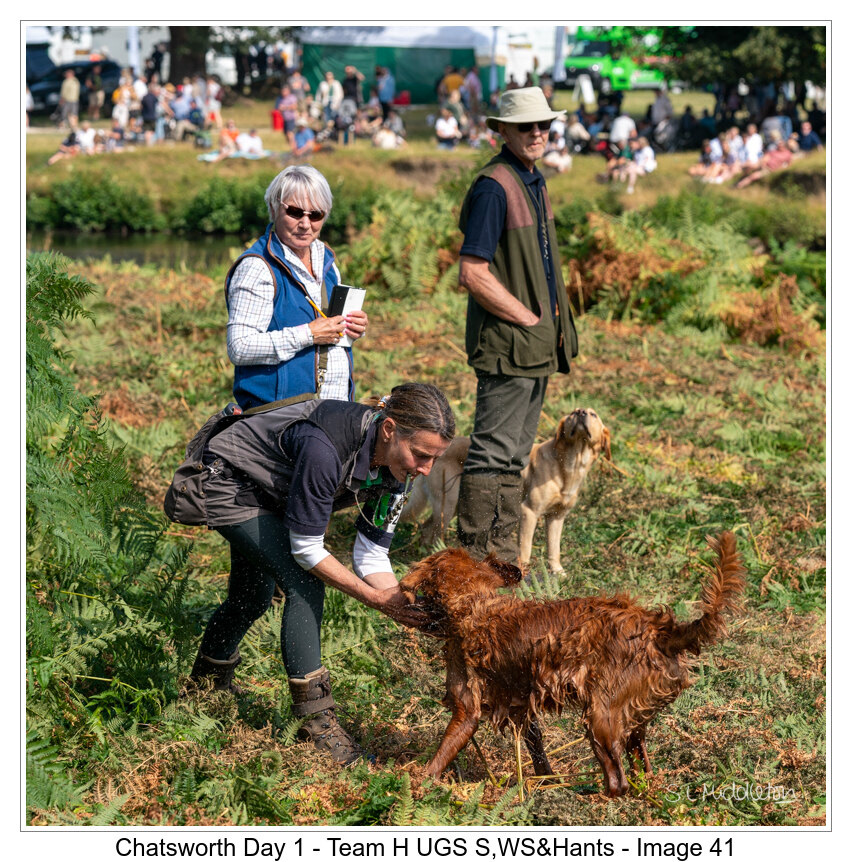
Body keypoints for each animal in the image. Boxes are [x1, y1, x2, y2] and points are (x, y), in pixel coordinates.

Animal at [400, 409, 611, 571]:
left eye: (593, 414)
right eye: (573, 414)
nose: (581, 413)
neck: (571, 463)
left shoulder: (557, 517)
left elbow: (554, 549)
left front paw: (557, 572)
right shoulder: (529, 512)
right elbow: (525, 548)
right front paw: (524, 572)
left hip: (456, 505)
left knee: (426, 528)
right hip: (448, 504)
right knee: (433, 533)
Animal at [400, 534, 745, 797]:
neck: (475, 605)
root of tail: (658, 630)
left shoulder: (467, 710)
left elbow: (441, 754)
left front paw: (416, 783)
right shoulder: (521, 703)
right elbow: (536, 745)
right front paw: (545, 782)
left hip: (601, 716)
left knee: (617, 782)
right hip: (634, 718)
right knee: (639, 768)